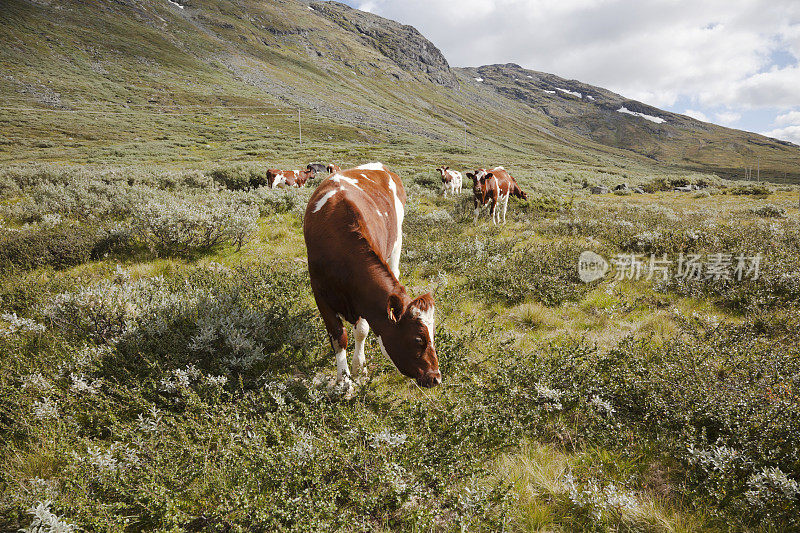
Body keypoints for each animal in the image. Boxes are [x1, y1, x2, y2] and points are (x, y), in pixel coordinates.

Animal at [304, 162, 440, 386]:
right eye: (418, 338)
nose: (436, 378)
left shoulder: (361, 298)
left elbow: (361, 331)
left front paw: (359, 367)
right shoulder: (320, 294)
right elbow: (338, 336)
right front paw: (344, 382)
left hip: (397, 240)